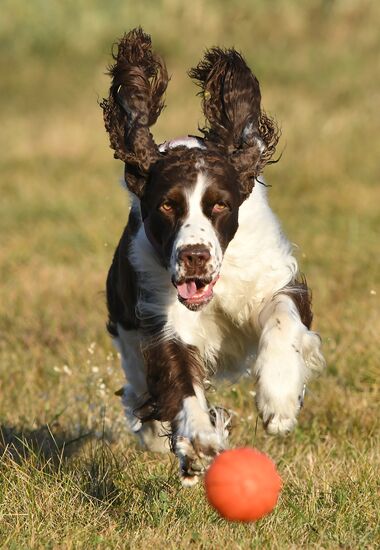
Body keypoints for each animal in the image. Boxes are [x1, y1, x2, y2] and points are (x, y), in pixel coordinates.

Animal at [99, 28, 326, 486]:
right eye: (168, 205)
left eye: (219, 204)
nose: (194, 257)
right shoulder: (162, 316)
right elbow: (179, 378)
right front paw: (199, 438)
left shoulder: (277, 278)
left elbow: (282, 318)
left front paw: (278, 400)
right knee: (138, 391)